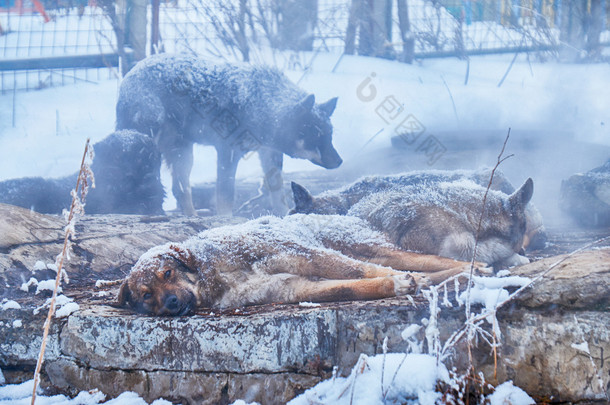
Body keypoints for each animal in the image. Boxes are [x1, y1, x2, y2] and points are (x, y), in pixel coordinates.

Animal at [114, 54, 342, 218]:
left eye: (329, 136)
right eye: (316, 136)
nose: (339, 161)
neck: (259, 103)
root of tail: (128, 75)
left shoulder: (269, 153)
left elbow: (277, 193)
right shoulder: (228, 154)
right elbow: (226, 195)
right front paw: (225, 222)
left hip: (183, 155)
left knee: (180, 189)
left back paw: (192, 216)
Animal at [116, 215, 482, 316]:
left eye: (168, 273)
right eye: (146, 295)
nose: (171, 303)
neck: (216, 276)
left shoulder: (303, 254)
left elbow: (355, 273)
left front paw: (399, 280)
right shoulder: (291, 287)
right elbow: (346, 288)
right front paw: (395, 285)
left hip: (368, 248)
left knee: (433, 260)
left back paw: (477, 267)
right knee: (435, 270)